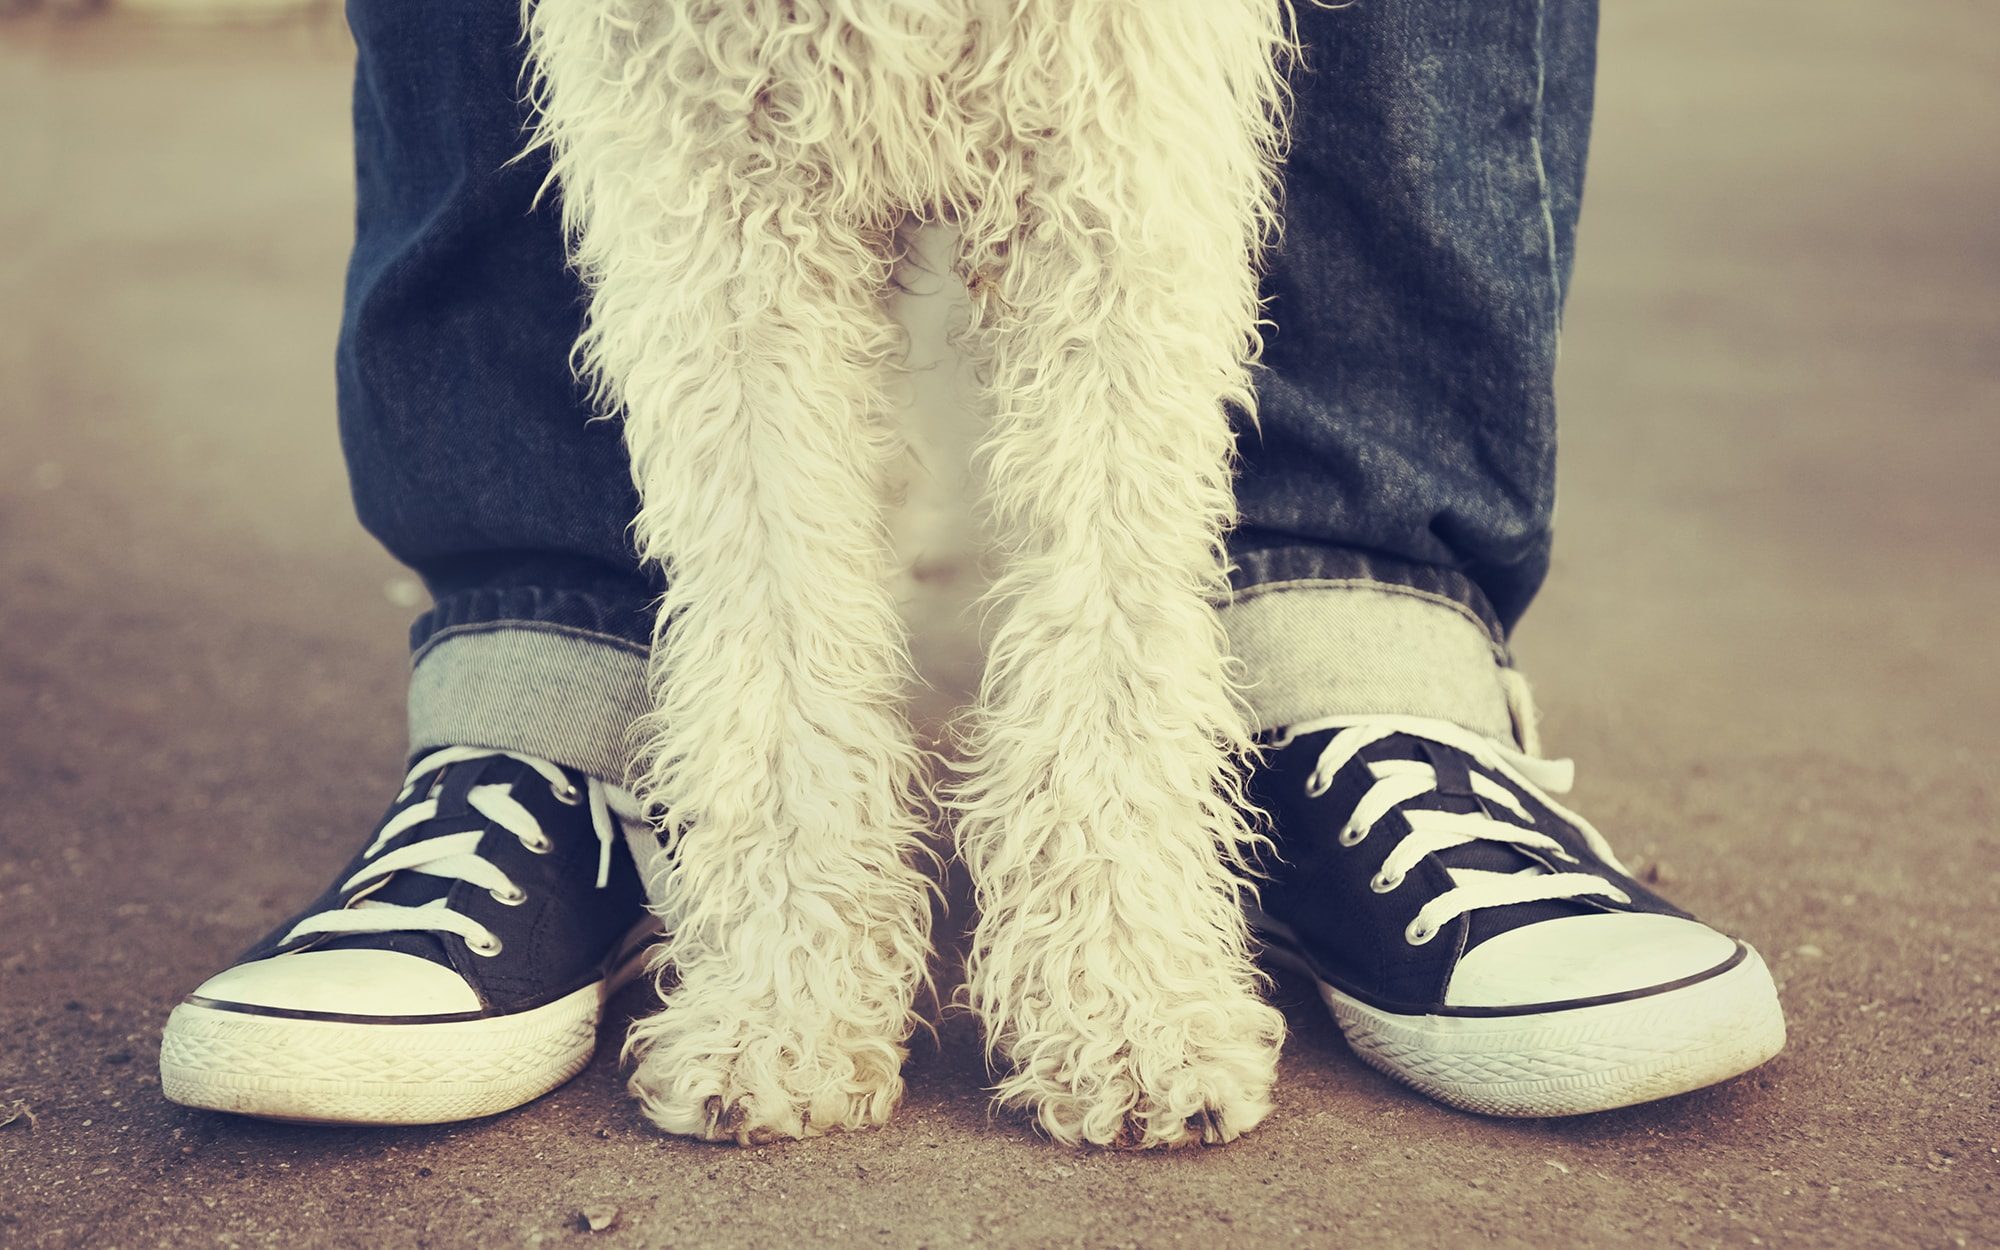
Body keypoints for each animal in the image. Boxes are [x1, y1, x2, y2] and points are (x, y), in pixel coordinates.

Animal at [524, 2, 1320, 1152]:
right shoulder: (717, 184)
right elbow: (777, 616)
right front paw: (782, 1009)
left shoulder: (1112, 161)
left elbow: (1109, 623)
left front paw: (1128, 1009)